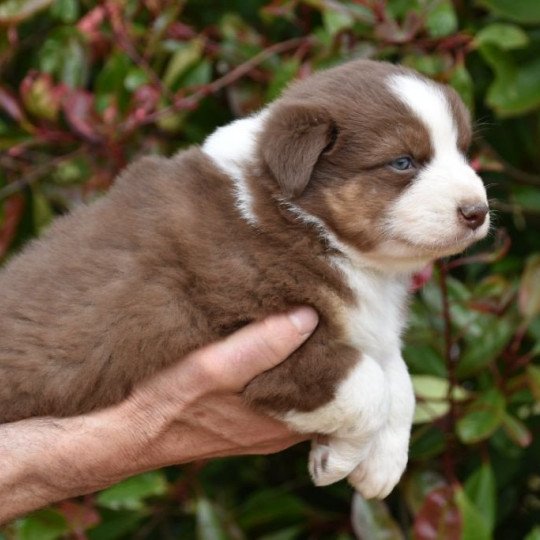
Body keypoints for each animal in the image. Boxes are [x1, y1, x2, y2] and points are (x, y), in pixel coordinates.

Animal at [0, 59, 490, 498]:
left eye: (463, 151)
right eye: (403, 162)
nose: (478, 211)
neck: (303, 221)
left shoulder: (367, 323)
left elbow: (399, 379)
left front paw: (380, 466)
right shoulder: (265, 339)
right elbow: (370, 386)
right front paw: (340, 459)